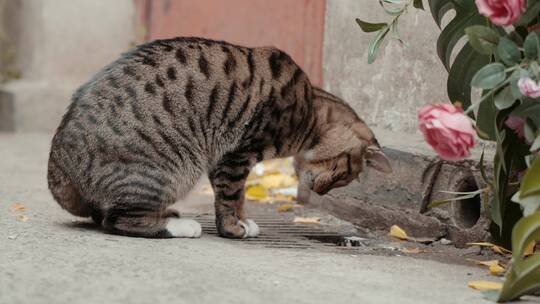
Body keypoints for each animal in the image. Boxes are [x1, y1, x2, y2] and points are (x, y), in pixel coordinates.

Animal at [47, 36, 392, 240]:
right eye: (345, 174)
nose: (321, 192)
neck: (311, 111)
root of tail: (57, 170)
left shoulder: (226, 159)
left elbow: (237, 199)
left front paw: (243, 221)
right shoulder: (236, 155)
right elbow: (231, 197)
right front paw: (234, 228)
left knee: (107, 215)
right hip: (165, 170)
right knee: (118, 221)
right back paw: (178, 225)